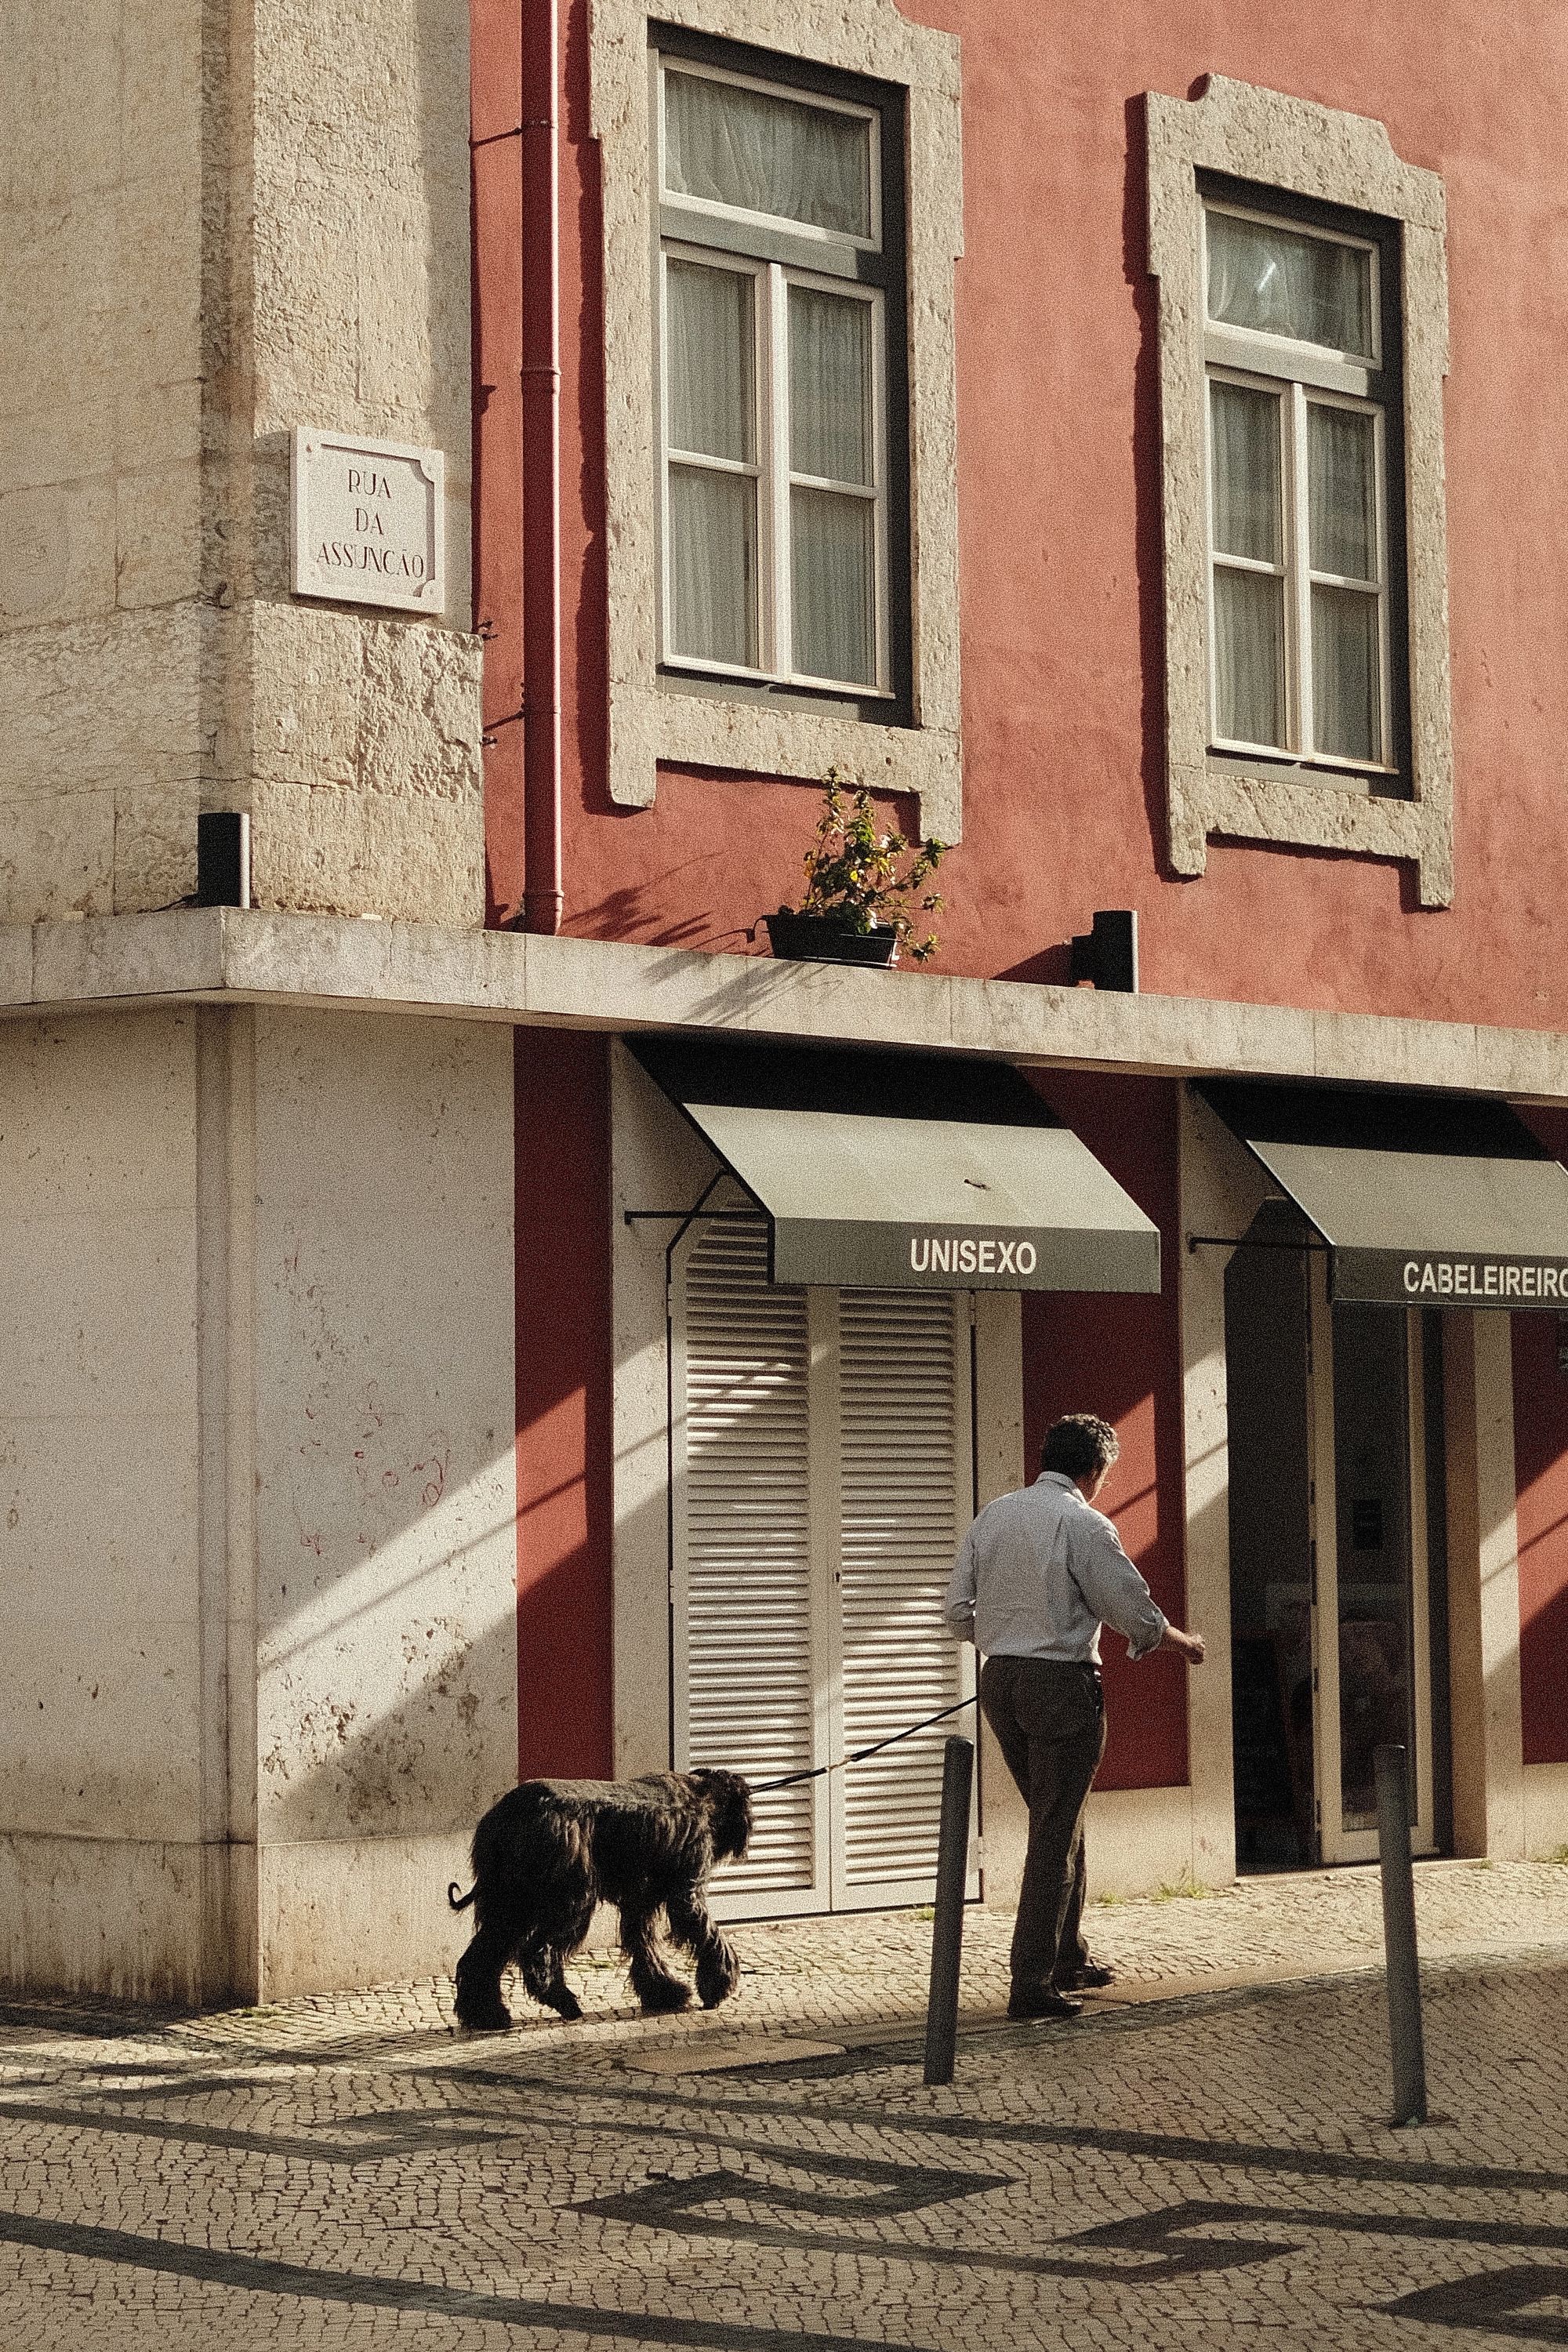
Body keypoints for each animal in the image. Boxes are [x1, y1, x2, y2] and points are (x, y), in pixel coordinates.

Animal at [447, 1767, 753, 2029]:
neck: (704, 1797)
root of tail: (506, 1816)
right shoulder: (686, 1894)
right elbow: (708, 1935)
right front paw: (719, 1984)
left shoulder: (640, 1903)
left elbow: (644, 1945)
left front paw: (664, 1992)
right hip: (568, 1902)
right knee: (537, 1951)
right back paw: (563, 2002)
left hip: (510, 1905)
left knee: (481, 1957)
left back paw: (486, 2015)